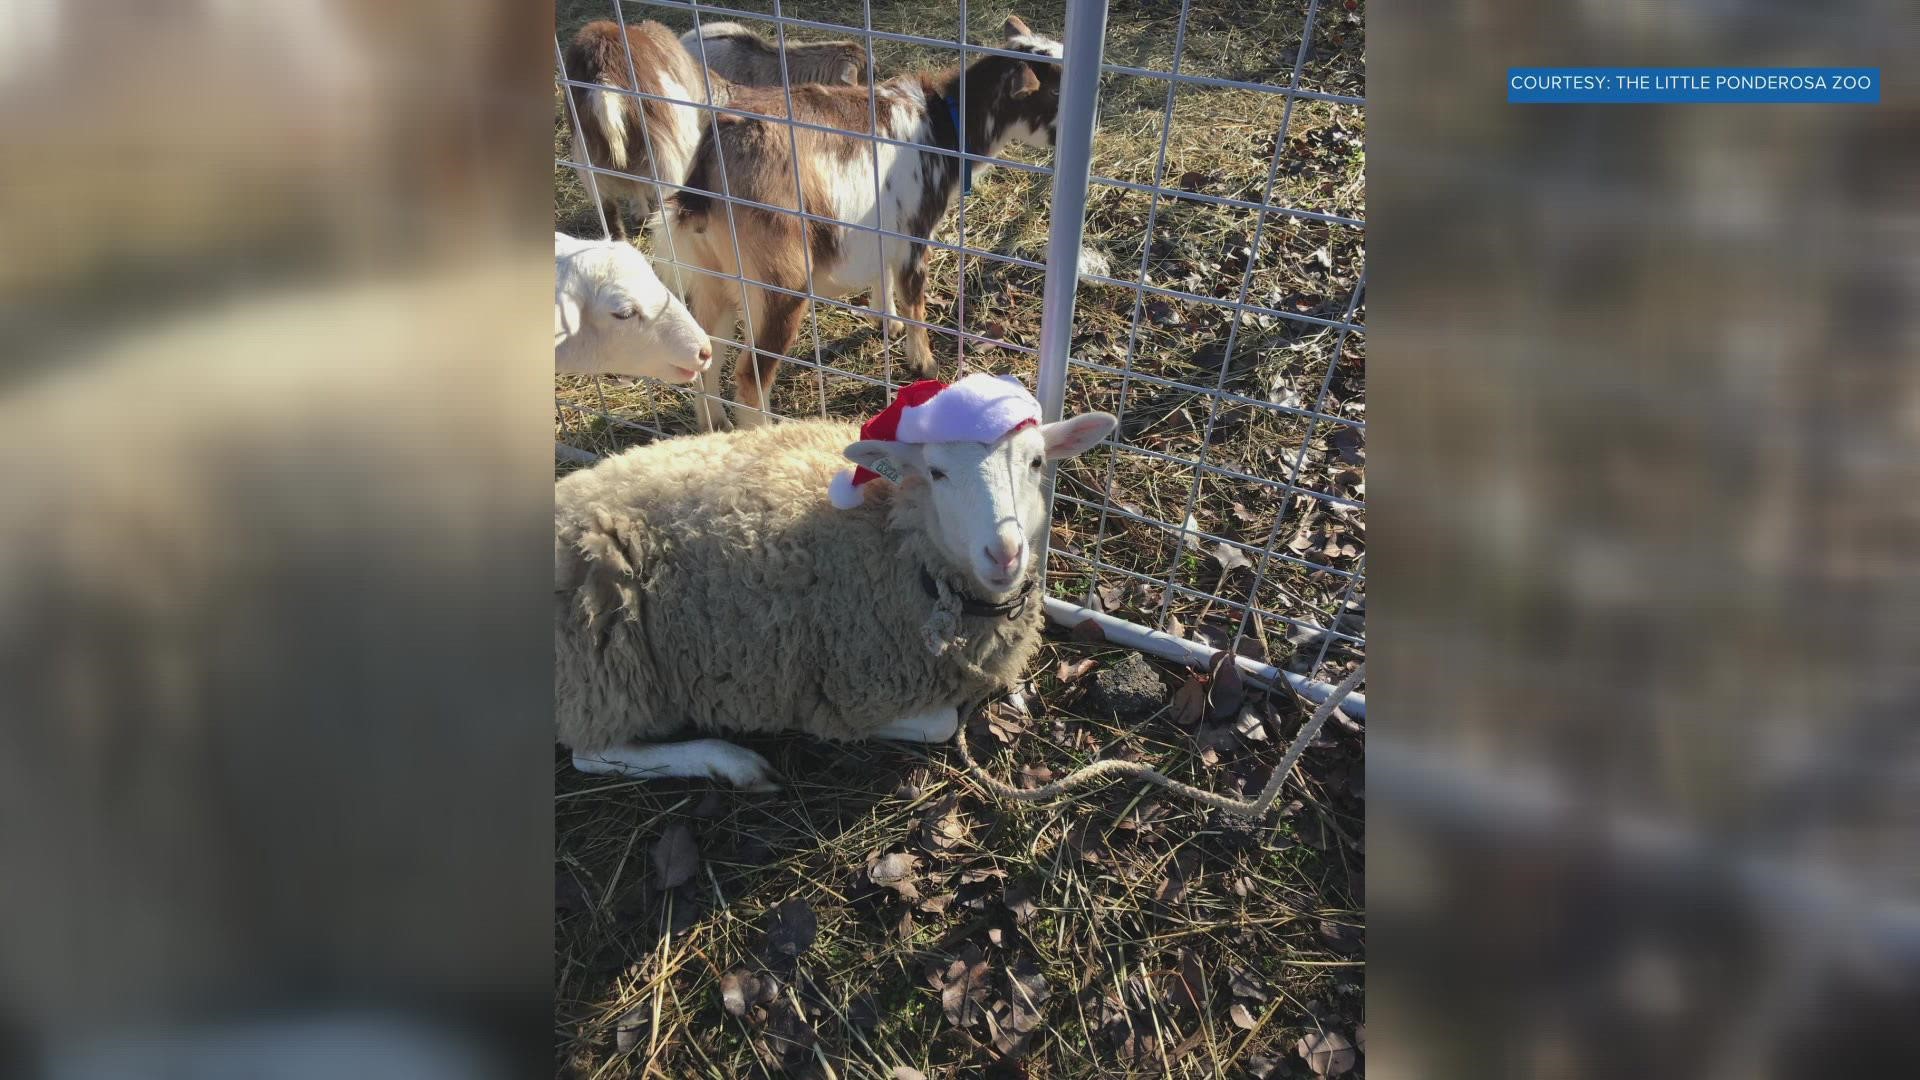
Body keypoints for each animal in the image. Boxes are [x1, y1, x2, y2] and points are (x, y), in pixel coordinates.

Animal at [549, 374, 1121, 787]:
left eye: (1037, 461)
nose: (1004, 553)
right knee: (593, 755)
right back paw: (729, 762)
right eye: (936, 473)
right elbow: (935, 723)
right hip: (604, 661)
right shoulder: (855, 679)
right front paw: (834, 726)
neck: (898, 539)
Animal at [672, 15, 1067, 428]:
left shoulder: (882, 226)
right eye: (1055, 90)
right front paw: (924, 363)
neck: (944, 124)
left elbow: (883, 273)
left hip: (711, 275)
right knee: (751, 375)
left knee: (707, 352)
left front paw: (886, 321)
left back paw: (714, 424)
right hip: (778, 282)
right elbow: (914, 301)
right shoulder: (915, 232)